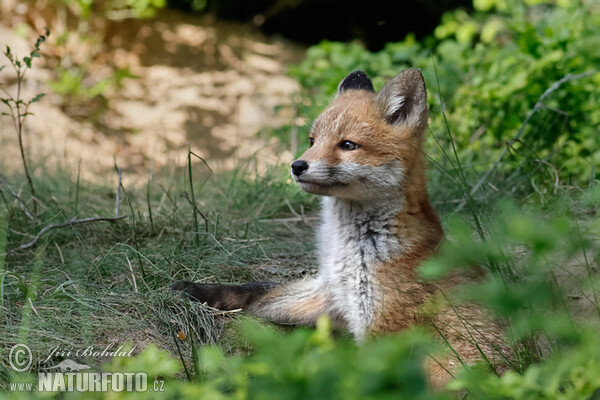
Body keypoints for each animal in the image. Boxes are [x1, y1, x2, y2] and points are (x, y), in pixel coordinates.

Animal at [172, 68, 510, 384]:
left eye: (348, 145)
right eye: (312, 141)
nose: (297, 166)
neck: (348, 250)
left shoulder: (383, 329)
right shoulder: (330, 293)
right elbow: (257, 292)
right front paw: (191, 289)